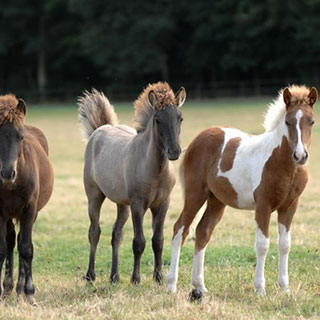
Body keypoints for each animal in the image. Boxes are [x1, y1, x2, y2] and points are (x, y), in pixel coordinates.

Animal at [78, 81, 186, 284]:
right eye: (157, 120)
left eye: (180, 118)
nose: (174, 151)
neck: (155, 170)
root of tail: (100, 129)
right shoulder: (138, 204)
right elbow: (139, 241)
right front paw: (136, 279)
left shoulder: (162, 204)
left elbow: (158, 241)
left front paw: (158, 277)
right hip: (94, 196)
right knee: (94, 232)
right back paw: (90, 275)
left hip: (122, 204)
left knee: (116, 235)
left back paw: (114, 276)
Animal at [168, 85, 318, 296]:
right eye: (288, 122)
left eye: (311, 121)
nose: (300, 155)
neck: (282, 163)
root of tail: (196, 140)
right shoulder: (263, 206)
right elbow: (262, 245)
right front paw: (260, 288)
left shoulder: (289, 206)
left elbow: (285, 244)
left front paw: (284, 287)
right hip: (195, 194)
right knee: (179, 229)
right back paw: (171, 285)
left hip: (216, 201)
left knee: (202, 232)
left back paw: (200, 286)